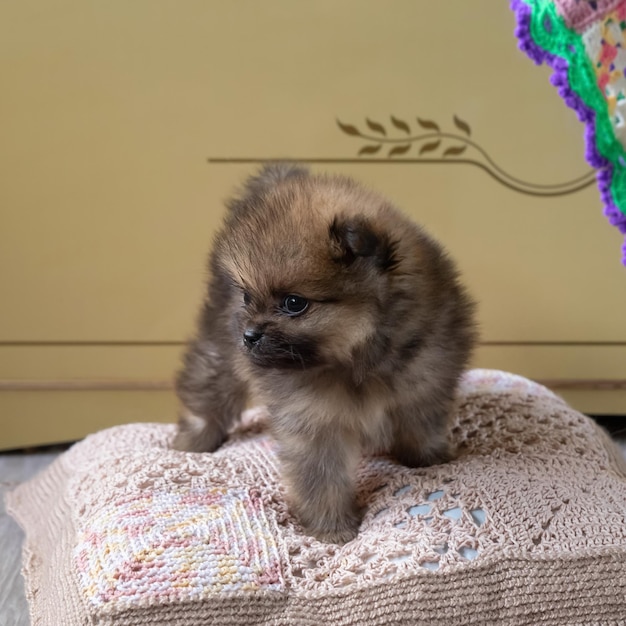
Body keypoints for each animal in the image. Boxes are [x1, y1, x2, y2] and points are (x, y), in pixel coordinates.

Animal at [173, 165, 476, 540]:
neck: (359, 360)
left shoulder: (424, 388)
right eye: (246, 297)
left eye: (293, 303)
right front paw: (332, 528)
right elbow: (323, 479)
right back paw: (193, 440)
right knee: (206, 393)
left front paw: (430, 460)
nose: (249, 336)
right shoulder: (315, 422)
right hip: (219, 352)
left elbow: (422, 428)